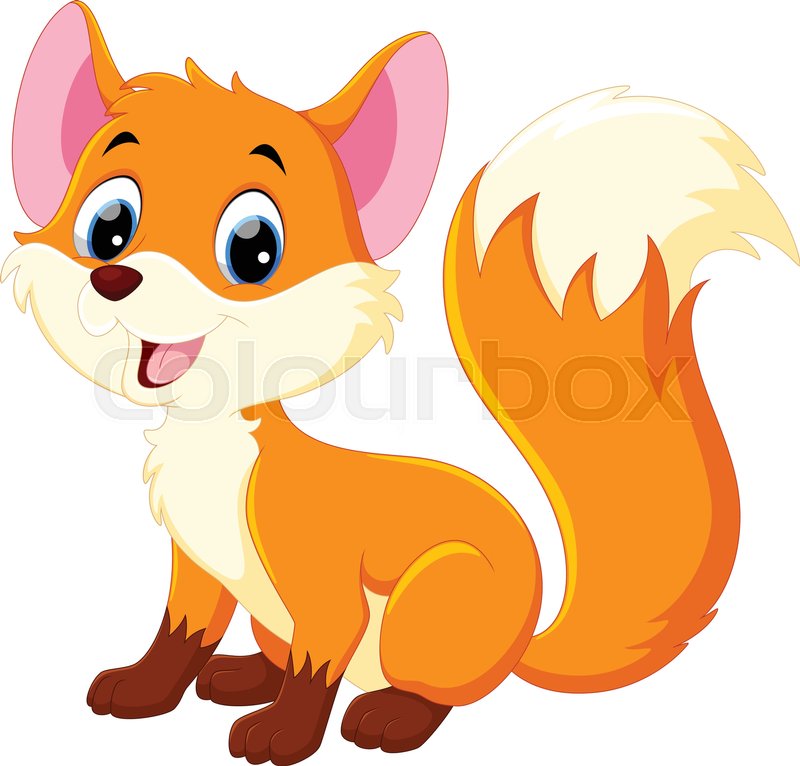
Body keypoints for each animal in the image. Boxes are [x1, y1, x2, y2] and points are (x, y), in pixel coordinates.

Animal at [3, 2, 798, 764]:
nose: (114, 278)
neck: (218, 452)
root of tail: (521, 644)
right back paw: (241, 677)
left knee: (434, 694)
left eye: (253, 248)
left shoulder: (323, 581)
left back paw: (388, 716)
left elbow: (318, 660)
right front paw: (144, 689)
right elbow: (179, 635)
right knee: (278, 652)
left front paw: (285, 737)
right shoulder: (197, 567)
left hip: (434, 599)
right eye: (108, 226)